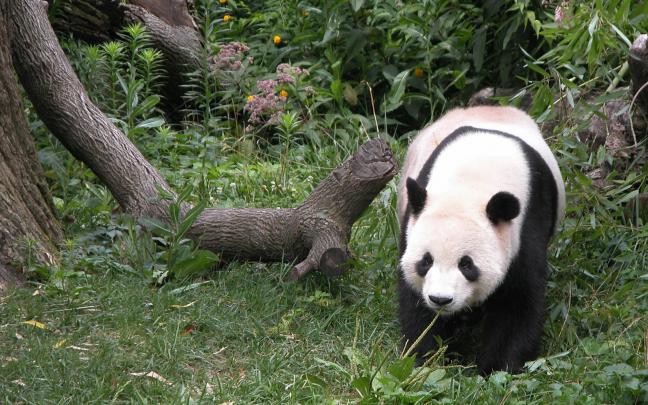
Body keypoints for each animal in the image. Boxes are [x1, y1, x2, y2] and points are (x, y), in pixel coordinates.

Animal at [397, 106, 565, 374]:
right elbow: (415, 302)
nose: (440, 299)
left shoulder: (527, 222)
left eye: (466, 264)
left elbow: (517, 302)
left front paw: (497, 367)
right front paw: (427, 358)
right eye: (426, 261)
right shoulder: (412, 225)